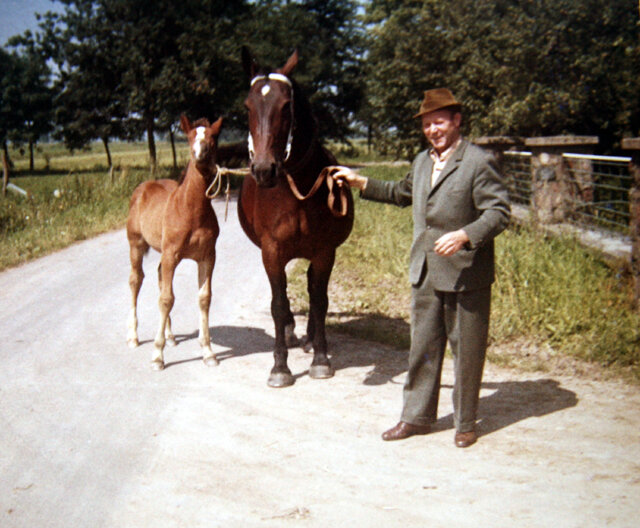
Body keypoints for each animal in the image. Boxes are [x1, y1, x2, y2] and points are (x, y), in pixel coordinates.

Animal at [126, 114, 223, 370]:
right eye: (189, 137)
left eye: (213, 137)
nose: (201, 154)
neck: (192, 210)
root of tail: (142, 188)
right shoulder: (171, 254)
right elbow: (167, 298)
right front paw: (157, 356)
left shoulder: (207, 256)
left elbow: (204, 298)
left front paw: (208, 352)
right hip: (135, 245)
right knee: (136, 280)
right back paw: (133, 337)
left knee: (160, 277)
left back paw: (169, 336)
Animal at [238, 48, 354, 388]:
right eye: (248, 106)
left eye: (286, 106)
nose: (264, 170)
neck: (296, 190)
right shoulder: (272, 251)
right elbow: (278, 305)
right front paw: (280, 367)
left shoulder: (324, 251)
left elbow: (319, 301)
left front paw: (321, 359)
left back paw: (310, 338)